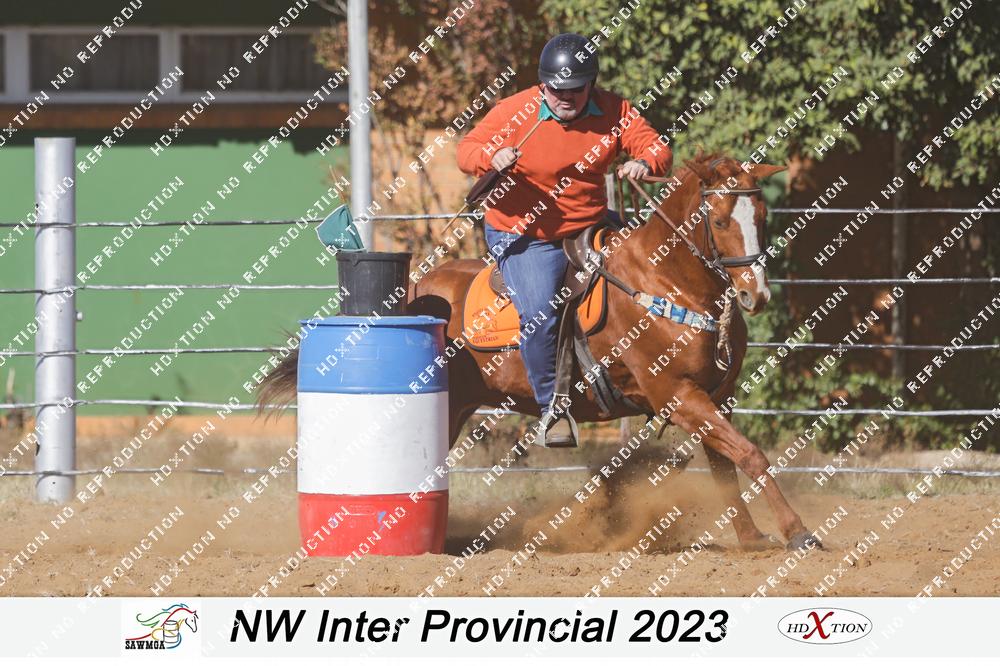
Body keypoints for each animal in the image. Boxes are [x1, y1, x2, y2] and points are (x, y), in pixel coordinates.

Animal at [259, 153, 820, 552]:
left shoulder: (715, 397)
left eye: (762, 215)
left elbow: (728, 465)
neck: (665, 282)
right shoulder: (676, 394)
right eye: (720, 221)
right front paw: (798, 531)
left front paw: (752, 537)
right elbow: (750, 454)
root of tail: (415, 287)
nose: (755, 295)